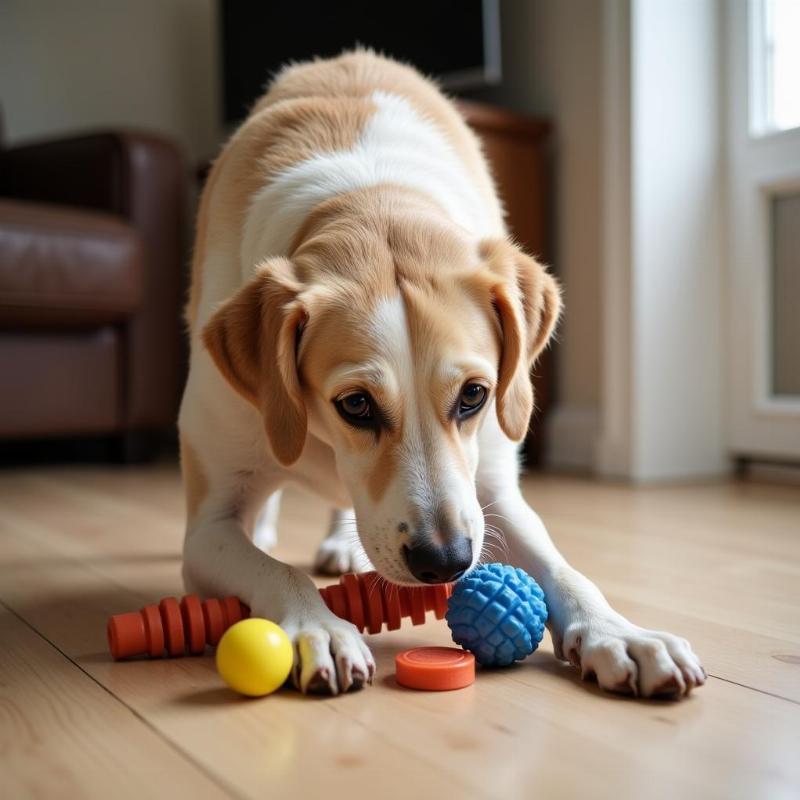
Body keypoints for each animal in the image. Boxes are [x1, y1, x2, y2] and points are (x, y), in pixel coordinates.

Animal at [178, 53, 704, 696]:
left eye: (474, 395)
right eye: (355, 405)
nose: (446, 562)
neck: (370, 197)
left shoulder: (492, 488)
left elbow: (563, 567)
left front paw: (618, 633)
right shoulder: (208, 526)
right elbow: (276, 572)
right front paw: (318, 627)